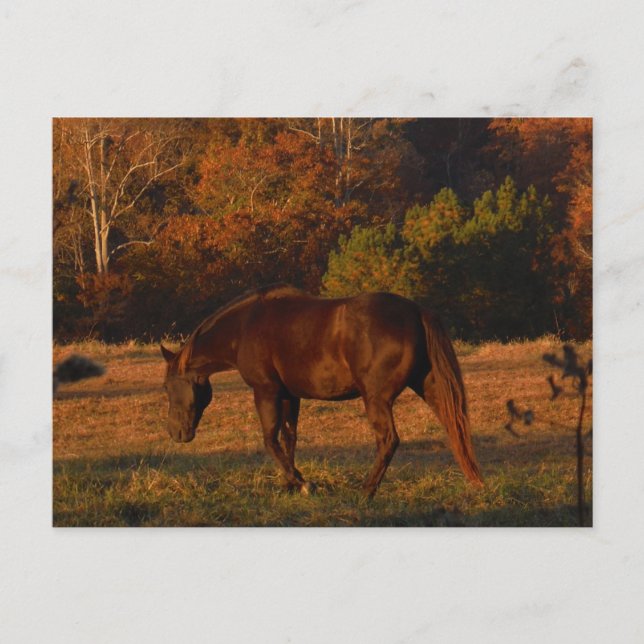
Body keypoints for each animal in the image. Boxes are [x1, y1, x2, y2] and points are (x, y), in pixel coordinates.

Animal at [160, 284, 483, 497]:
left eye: (166, 386)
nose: (176, 433)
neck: (245, 327)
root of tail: (416, 312)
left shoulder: (266, 391)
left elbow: (270, 440)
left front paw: (303, 483)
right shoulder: (289, 395)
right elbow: (289, 438)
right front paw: (291, 484)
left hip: (377, 400)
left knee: (388, 441)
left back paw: (366, 492)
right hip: (429, 387)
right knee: (454, 426)